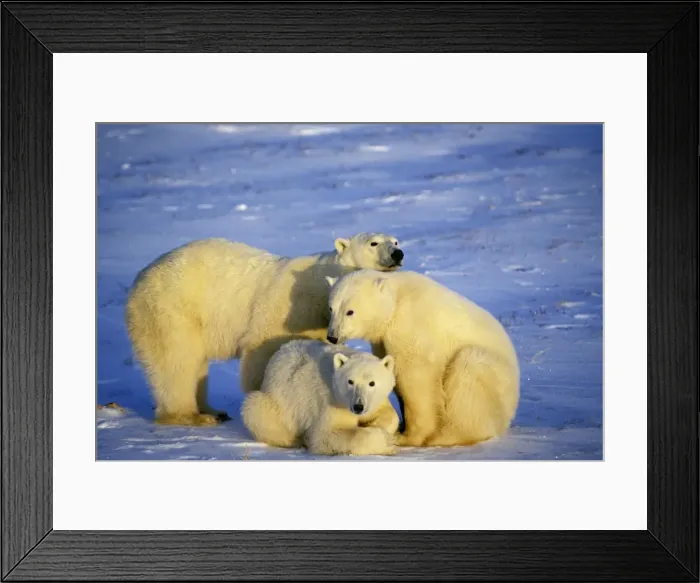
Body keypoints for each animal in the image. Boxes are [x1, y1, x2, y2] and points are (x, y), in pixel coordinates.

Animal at [125, 233, 404, 426]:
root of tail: (138, 280)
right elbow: (263, 348)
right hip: (171, 310)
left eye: (396, 240)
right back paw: (192, 416)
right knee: (177, 361)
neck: (318, 284)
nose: (398, 254)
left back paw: (213, 410)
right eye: (374, 243)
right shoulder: (289, 306)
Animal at [241, 339, 399, 456]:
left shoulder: (374, 401)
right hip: (276, 402)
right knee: (256, 410)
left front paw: (377, 427)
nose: (358, 407)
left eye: (372, 383)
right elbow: (324, 436)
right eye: (350, 381)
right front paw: (386, 443)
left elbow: (390, 414)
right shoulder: (331, 402)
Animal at [325, 269, 520, 447]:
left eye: (350, 311)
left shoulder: (411, 327)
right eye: (331, 308)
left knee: (468, 373)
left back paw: (445, 436)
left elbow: (416, 380)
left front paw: (406, 437)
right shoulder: (382, 340)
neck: (396, 300)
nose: (332, 336)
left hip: (494, 378)